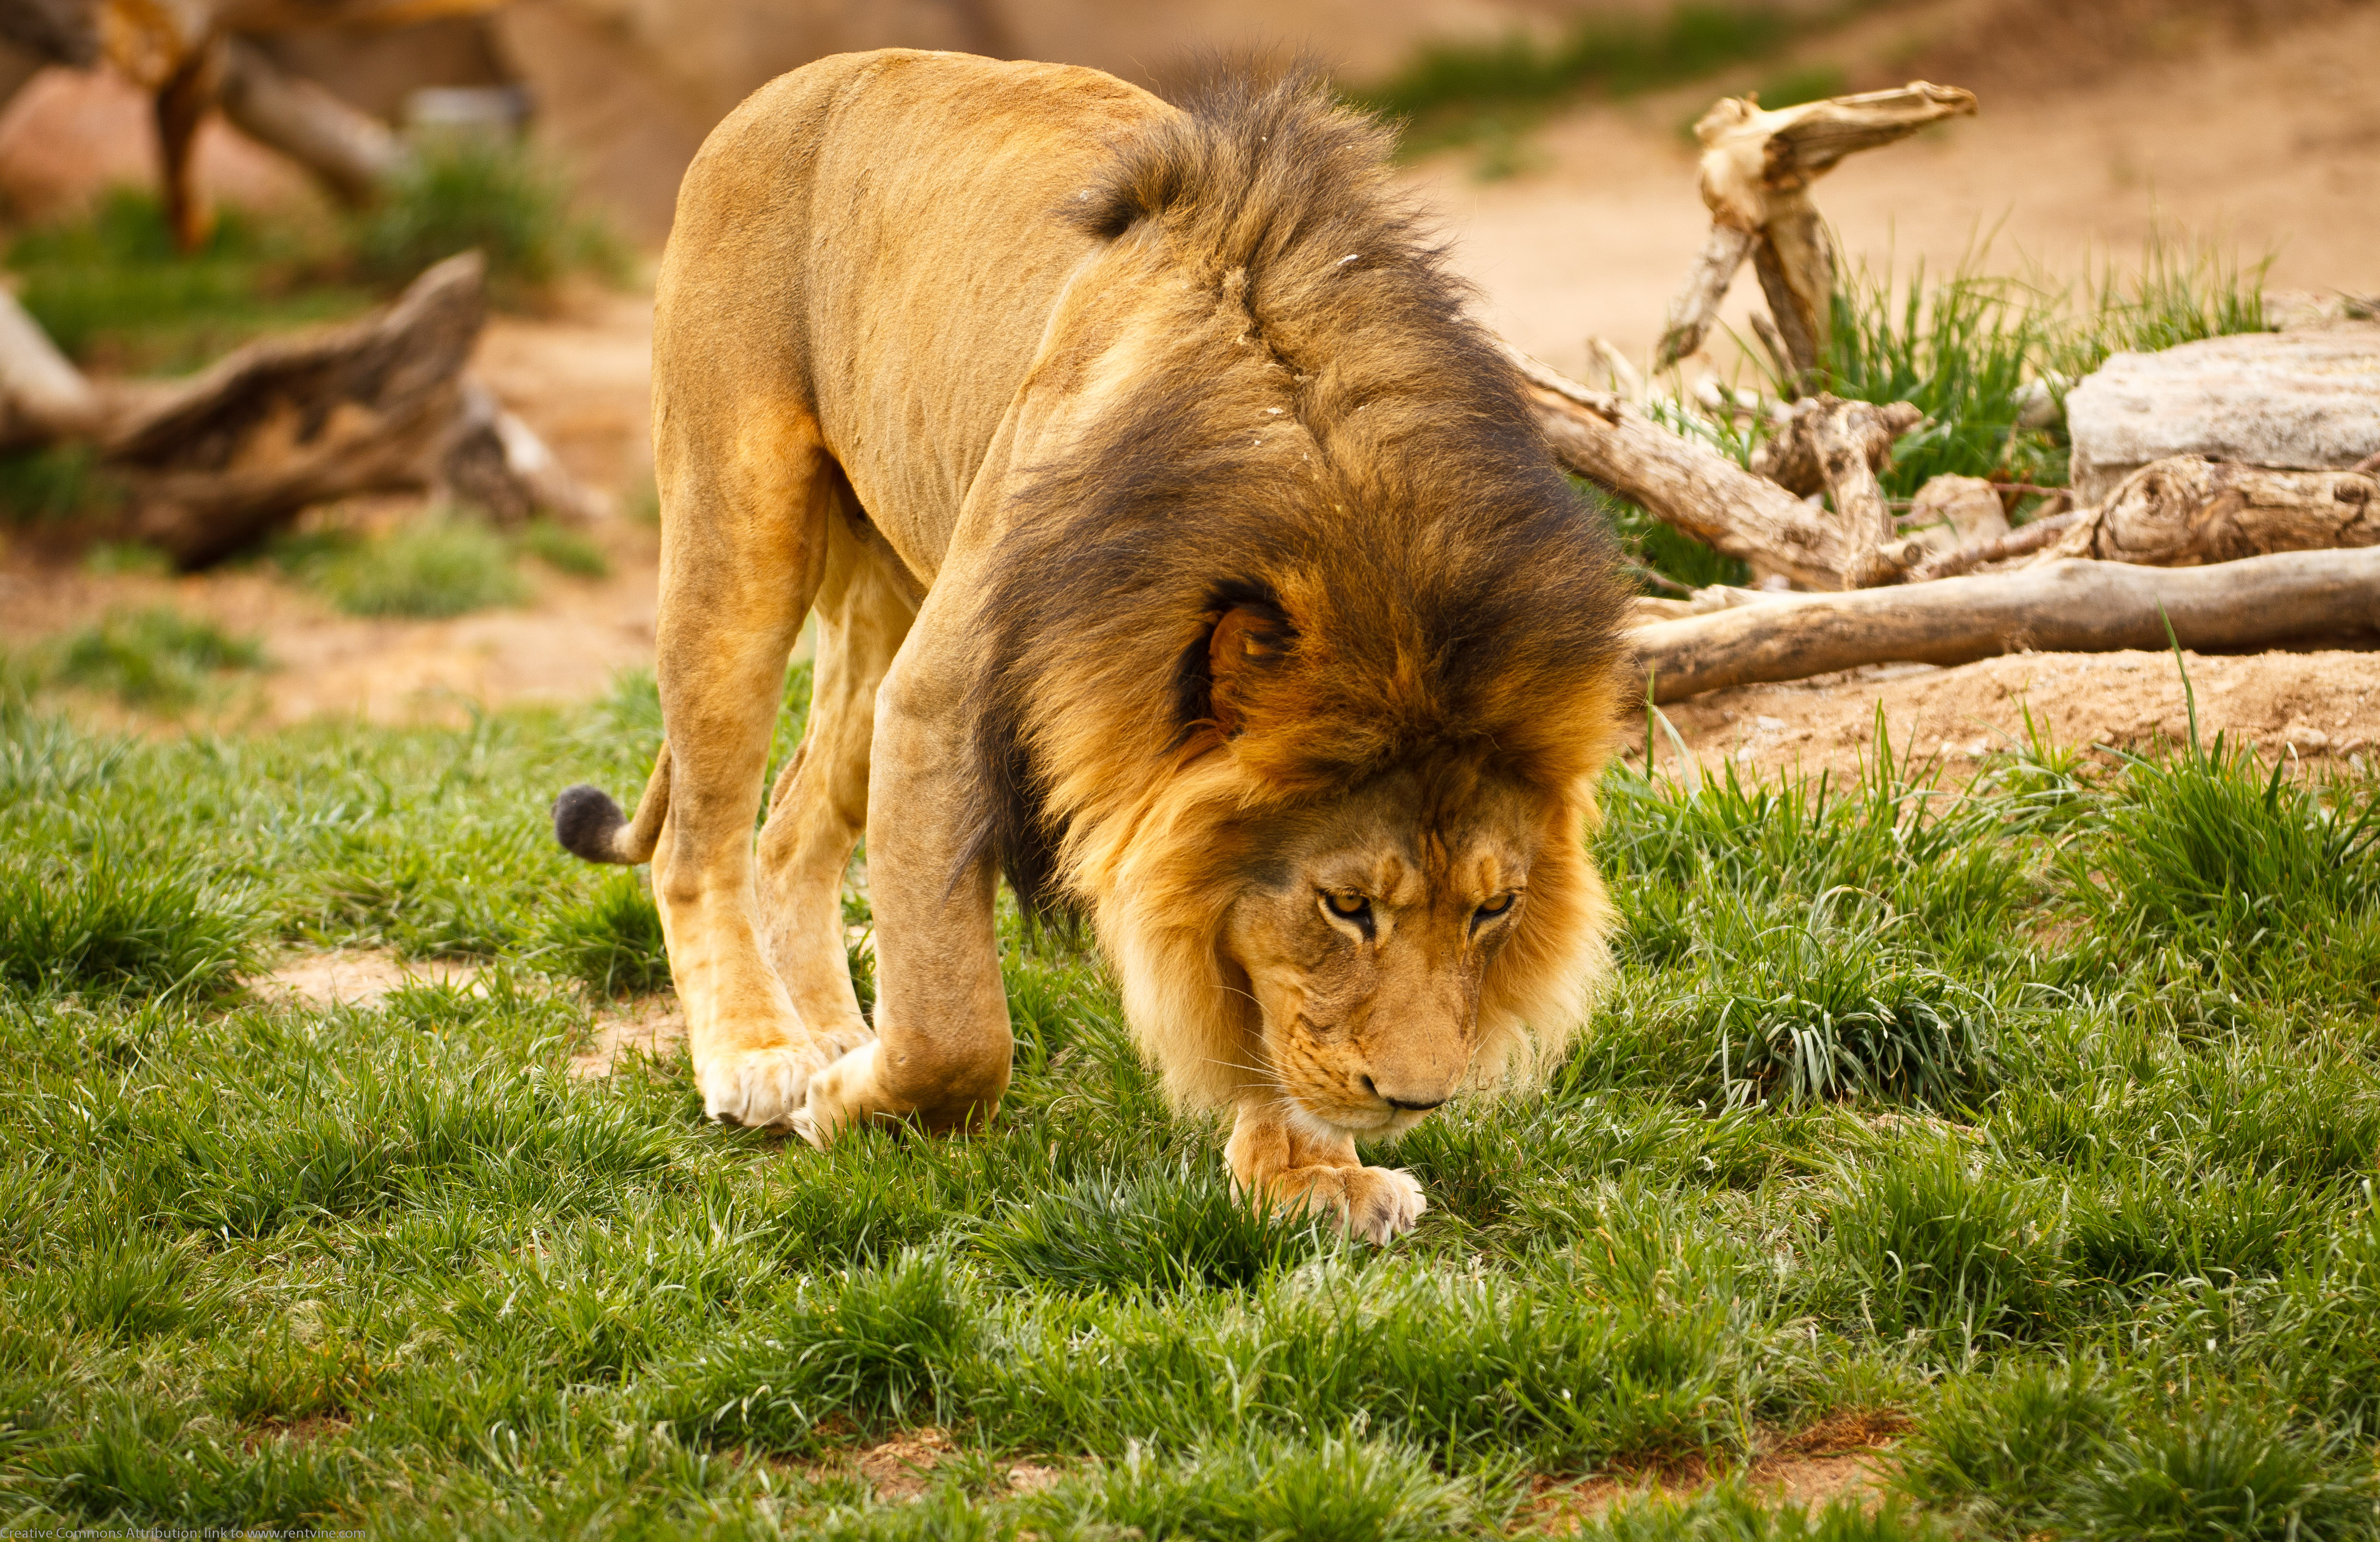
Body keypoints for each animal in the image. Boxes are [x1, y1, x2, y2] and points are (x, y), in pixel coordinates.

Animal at [557, 54, 1637, 1247]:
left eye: (1493, 909)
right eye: (1345, 906)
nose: (1415, 1101)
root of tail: (789, 83)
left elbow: (1252, 989)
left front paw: (1309, 1178)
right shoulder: (941, 704)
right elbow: (955, 1029)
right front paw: (850, 1105)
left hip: (887, 587)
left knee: (791, 827)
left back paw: (830, 1030)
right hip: (738, 532)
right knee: (695, 843)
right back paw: (763, 1056)